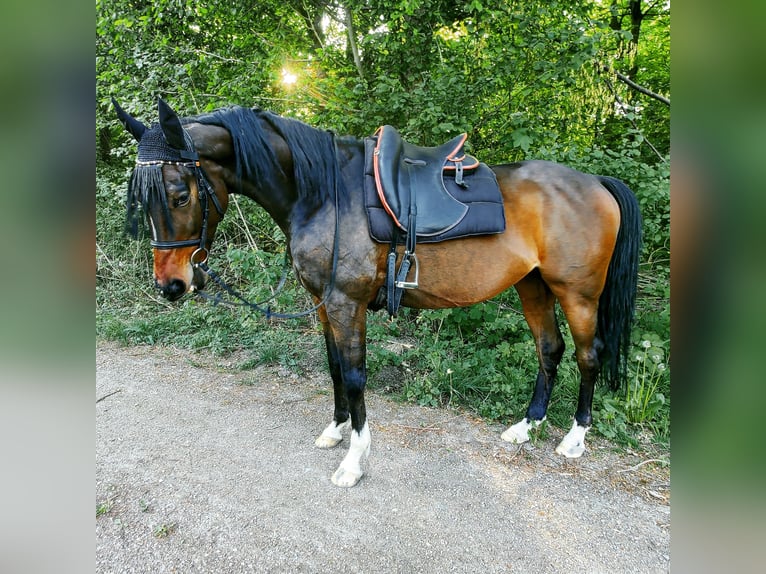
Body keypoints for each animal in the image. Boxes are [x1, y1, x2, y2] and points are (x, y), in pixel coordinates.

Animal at [112, 100, 640, 490]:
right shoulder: (325, 306)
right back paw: (525, 427)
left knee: (588, 356)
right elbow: (333, 369)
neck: (323, 193)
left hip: (578, 295)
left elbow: (354, 376)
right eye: (143, 198)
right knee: (549, 351)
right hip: (533, 287)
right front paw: (335, 430)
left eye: (180, 194)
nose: (172, 285)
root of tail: (594, 183)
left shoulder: (347, 305)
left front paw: (354, 460)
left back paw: (574, 438)